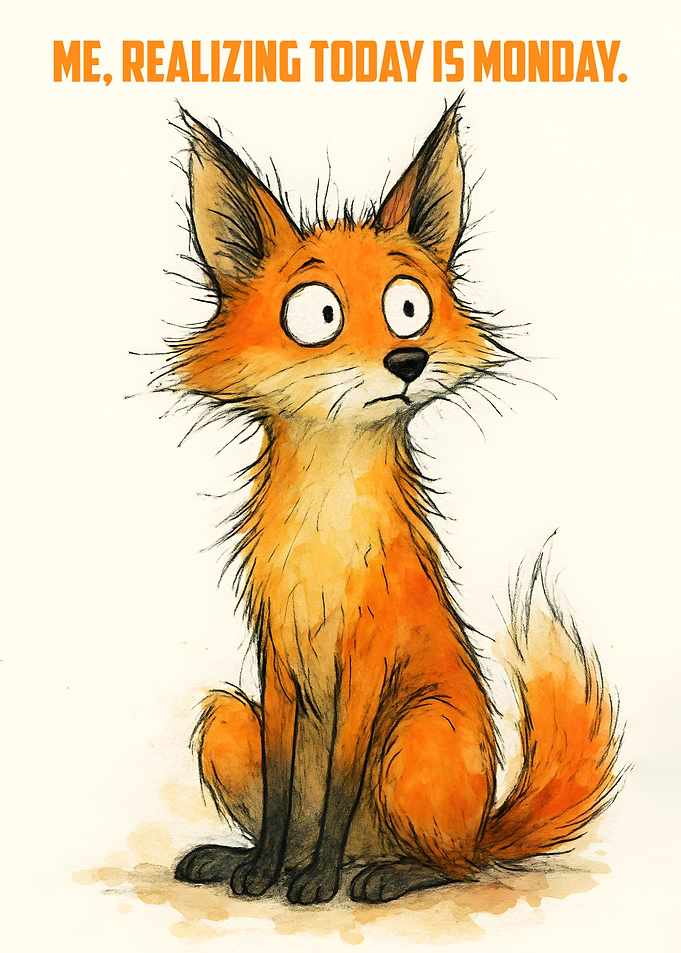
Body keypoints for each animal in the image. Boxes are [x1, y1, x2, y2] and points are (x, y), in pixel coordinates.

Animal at [167, 100, 623, 904]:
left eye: (408, 307)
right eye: (317, 314)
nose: (407, 360)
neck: (324, 534)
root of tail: (481, 825)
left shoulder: (369, 662)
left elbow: (343, 777)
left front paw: (312, 884)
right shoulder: (275, 660)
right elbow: (283, 788)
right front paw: (262, 873)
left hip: (416, 739)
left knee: (454, 864)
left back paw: (378, 873)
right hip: (224, 718)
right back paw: (249, 858)